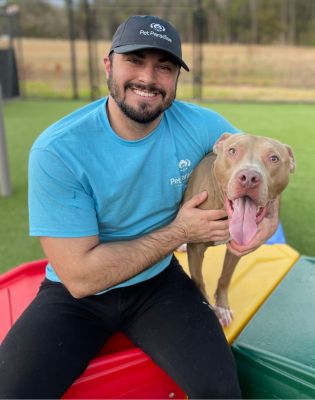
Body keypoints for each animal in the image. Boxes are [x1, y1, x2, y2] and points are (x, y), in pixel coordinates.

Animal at [183, 133, 296, 326]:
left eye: (274, 158)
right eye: (232, 151)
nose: (249, 177)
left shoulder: (237, 248)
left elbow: (226, 278)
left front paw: (222, 307)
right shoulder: (196, 248)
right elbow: (198, 280)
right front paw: (211, 308)